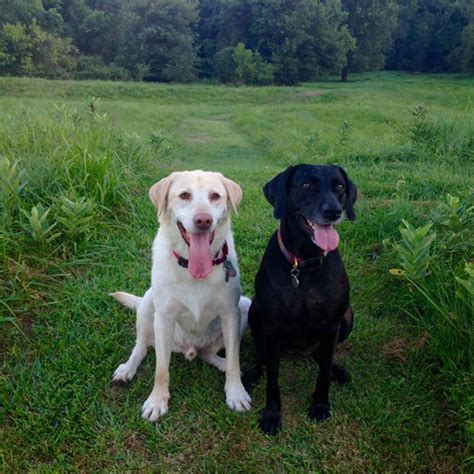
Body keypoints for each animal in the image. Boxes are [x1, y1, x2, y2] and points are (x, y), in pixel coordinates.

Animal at [111, 171, 252, 422]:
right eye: (184, 195)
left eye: (215, 196)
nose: (203, 220)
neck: (192, 268)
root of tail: (189, 348)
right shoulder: (164, 317)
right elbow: (161, 370)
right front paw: (157, 401)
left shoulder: (230, 314)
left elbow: (235, 360)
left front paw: (236, 393)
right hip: (148, 302)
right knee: (142, 346)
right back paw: (128, 368)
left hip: (245, 306)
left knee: (209, 353)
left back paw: (220, 362)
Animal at [243, 165, 358, 436]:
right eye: (306, 185)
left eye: (340, 186)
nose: (333, 211)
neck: (304, 265)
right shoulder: (272, 327)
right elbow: (273, 377)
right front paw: (272, 414)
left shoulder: (332, 324)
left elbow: (323, 373)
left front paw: (320, 405)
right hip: (255, 312)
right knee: (262, 358)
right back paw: (252, 374)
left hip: (348, 316)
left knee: (323, 358)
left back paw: (337, 370)